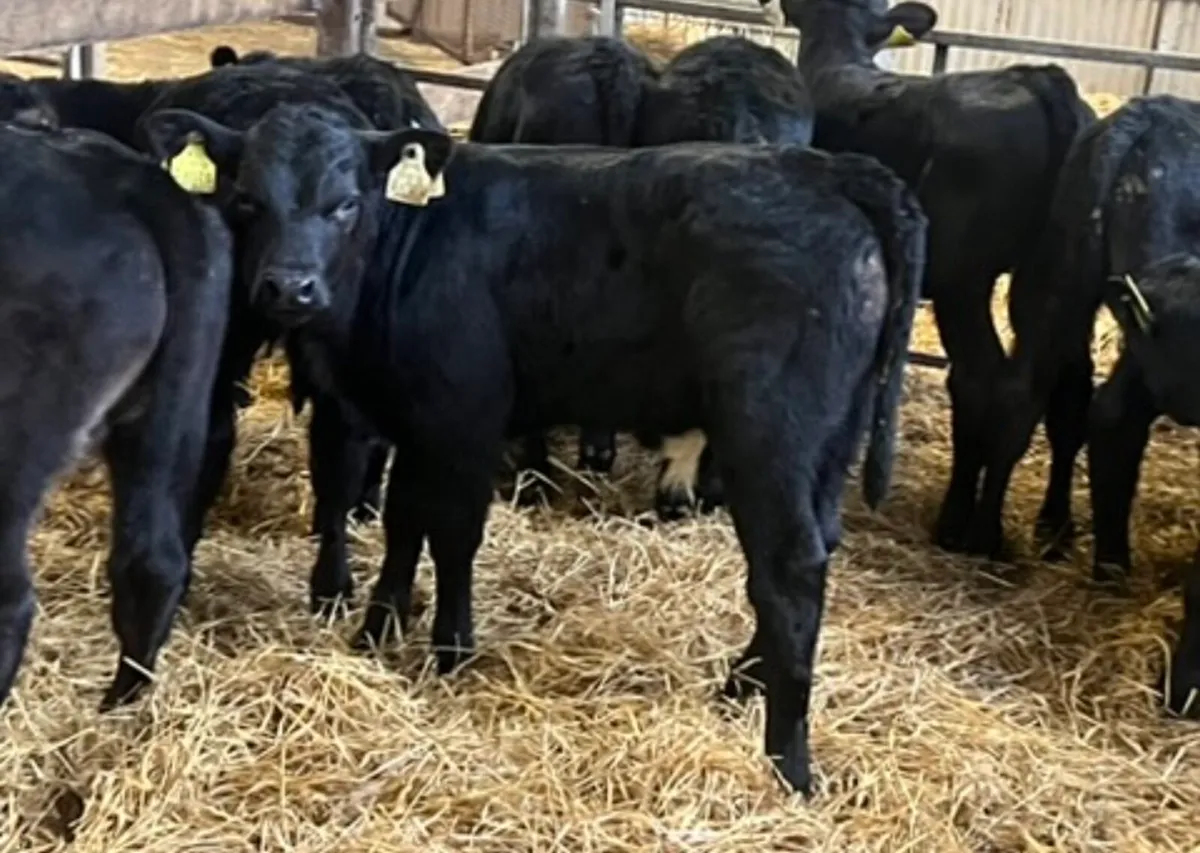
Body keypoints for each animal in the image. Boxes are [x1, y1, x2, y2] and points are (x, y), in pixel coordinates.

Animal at [140, 98, 926, 795]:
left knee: (789, 567)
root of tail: (835, 170)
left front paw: (451, 648)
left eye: (345, 204)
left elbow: (453, 532)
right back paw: (741, 685)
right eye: (247, 201)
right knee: (816, 545)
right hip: (832, 437)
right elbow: (403, 521)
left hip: (772, 431)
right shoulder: (412, 418)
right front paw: (378, 628)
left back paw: (786, 761)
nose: (289, 288)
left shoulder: (464, 415)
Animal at [763, 0, 1095, 558]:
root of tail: (1036, 79)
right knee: (1060, 390)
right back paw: (1052, 528)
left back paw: (968, 527)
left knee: (981, 380)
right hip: (1061, 281)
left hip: (965, 281)